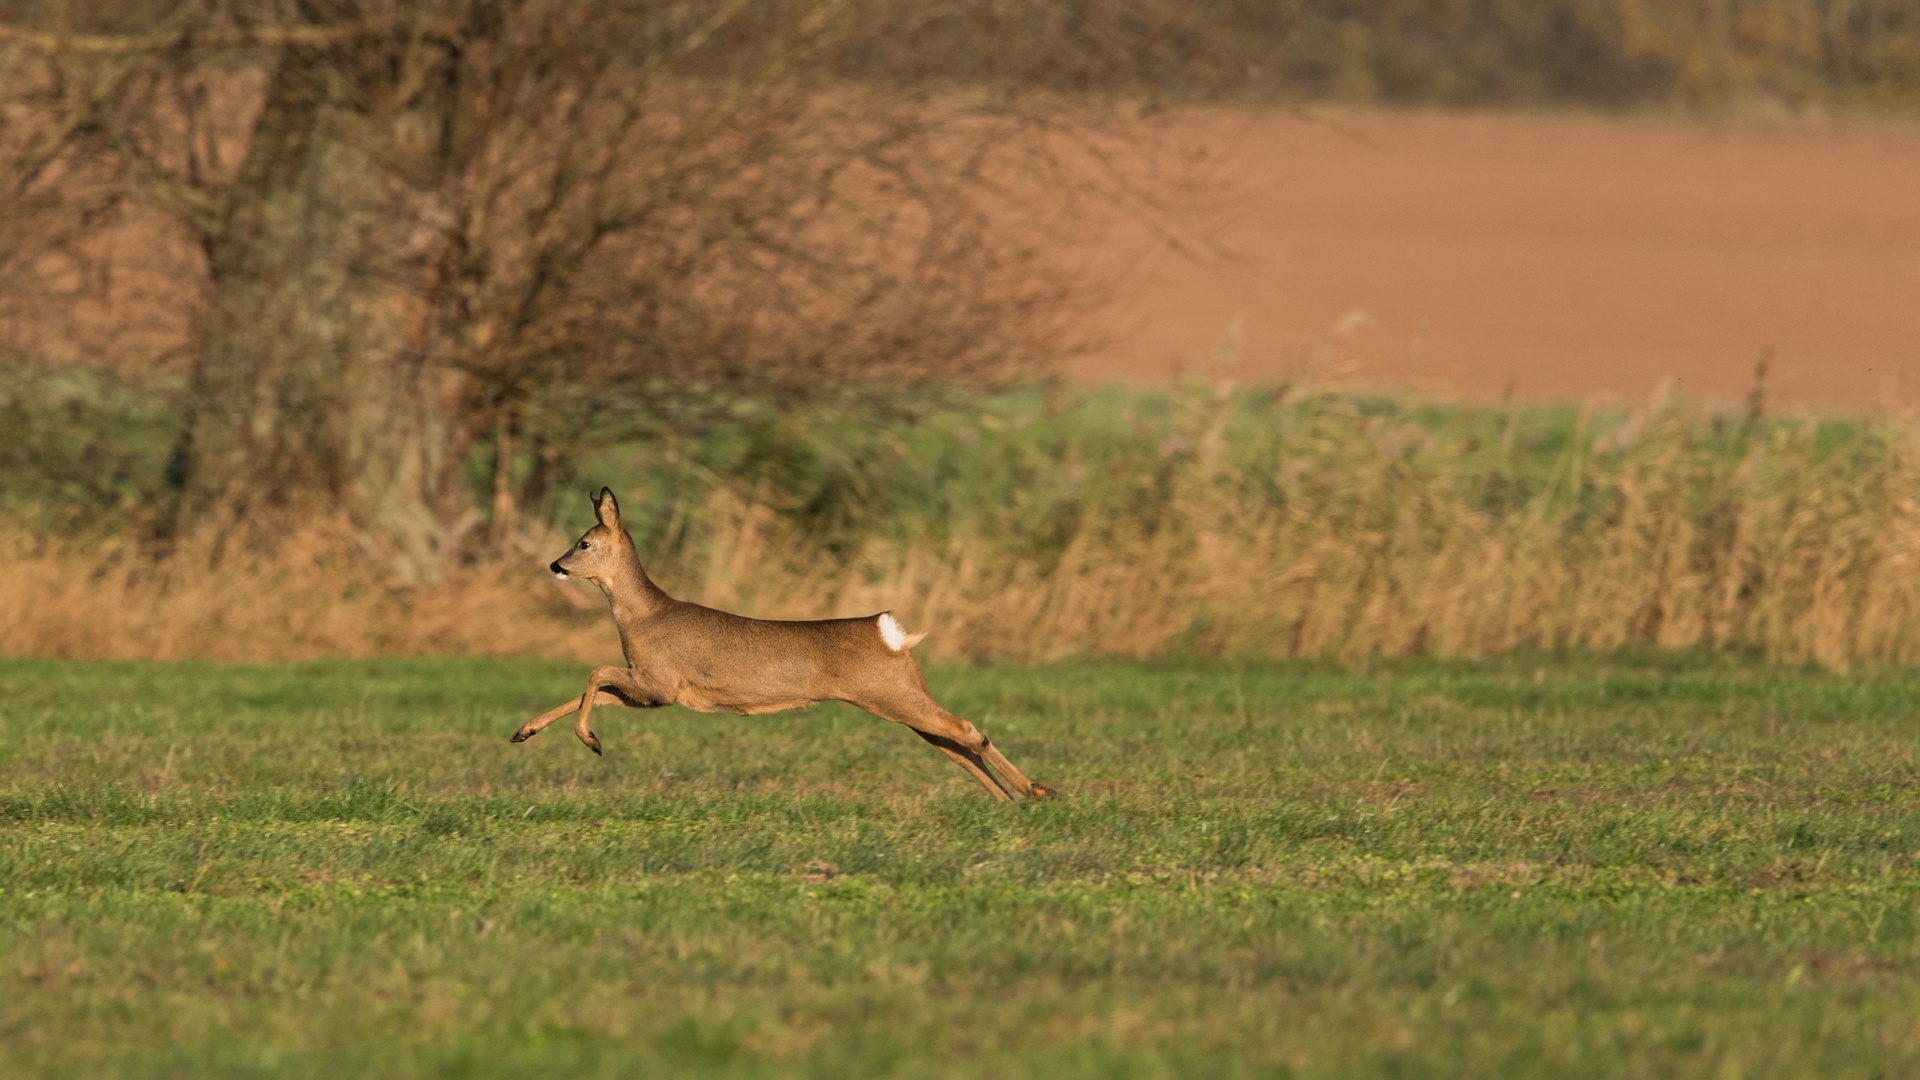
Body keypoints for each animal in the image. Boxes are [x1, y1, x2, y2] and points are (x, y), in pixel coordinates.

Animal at [506, 488, 1052, 799]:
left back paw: (1037, 790)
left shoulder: (660, 682)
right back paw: (1006, 799)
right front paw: (524, 732)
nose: (555, 564)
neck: (643, 616)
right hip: (901, 695)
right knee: (953, 744)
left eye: (584, 542)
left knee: (966, 731)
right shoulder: (651, 693)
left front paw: (591, 741)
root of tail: (888, 631)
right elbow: (590, 690)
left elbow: (594, 673)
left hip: (891, 694)